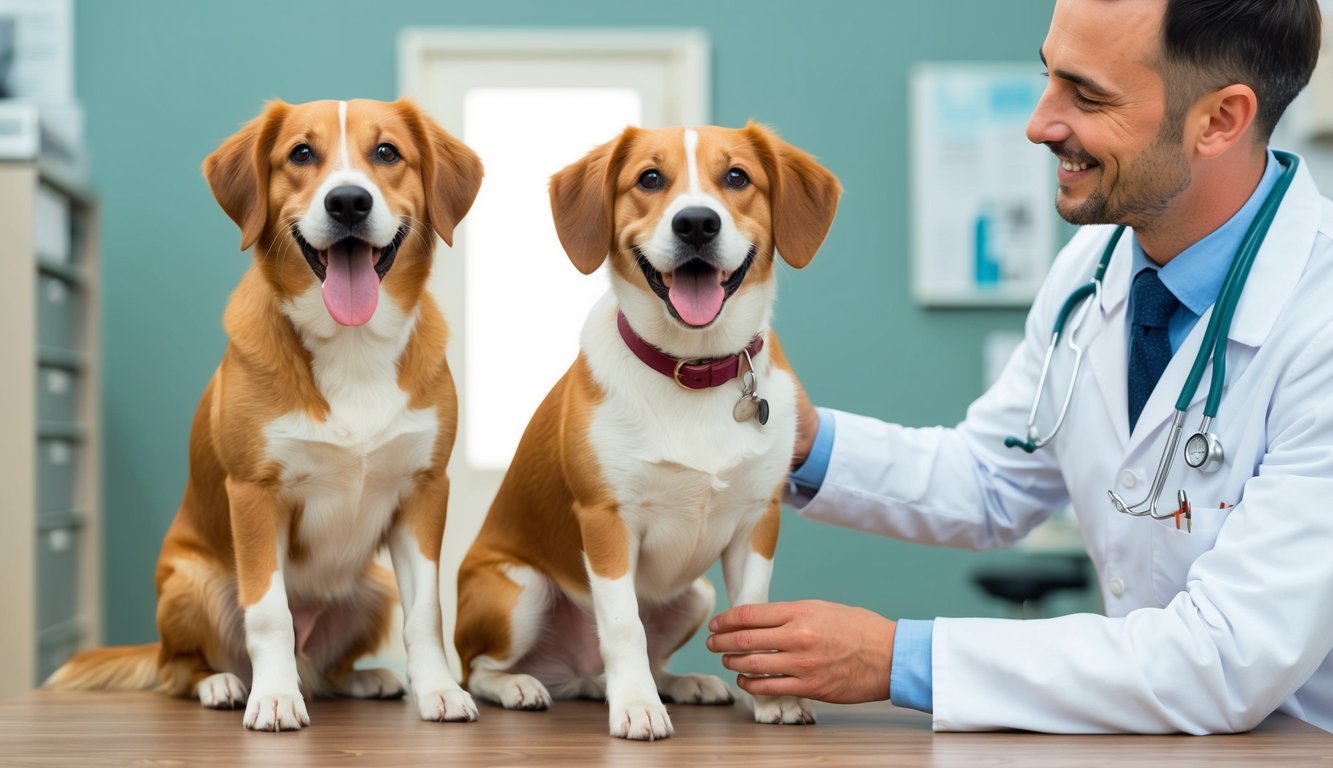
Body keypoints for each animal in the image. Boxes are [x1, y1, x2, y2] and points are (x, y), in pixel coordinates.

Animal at [48, 100, 485, 730]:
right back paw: (225, 684)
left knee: (323, 670)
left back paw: (362, 679)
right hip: (191, 582)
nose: (347, 201)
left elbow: (426, 612)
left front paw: (439, 690)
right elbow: (270, 613)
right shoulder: (255, 494)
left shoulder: (424, 491)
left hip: (373, 585)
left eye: (387, 152)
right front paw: (274, 697)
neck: (352, 346)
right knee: (181, 669)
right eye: (301, 153)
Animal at [453, 122, 837, 741]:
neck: (693, 368)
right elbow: (623, 624)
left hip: (694, 594)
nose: (697, 223)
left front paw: (768, 700)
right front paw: (635, 706)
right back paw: (522, 686)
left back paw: (679, 684)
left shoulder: (758, 519)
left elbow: (749, 616)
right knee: (480, 668)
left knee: (648, 658)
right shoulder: (606, 521)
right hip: (519, 590)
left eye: (737, 177)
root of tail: (573, 672)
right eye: (650, 178)